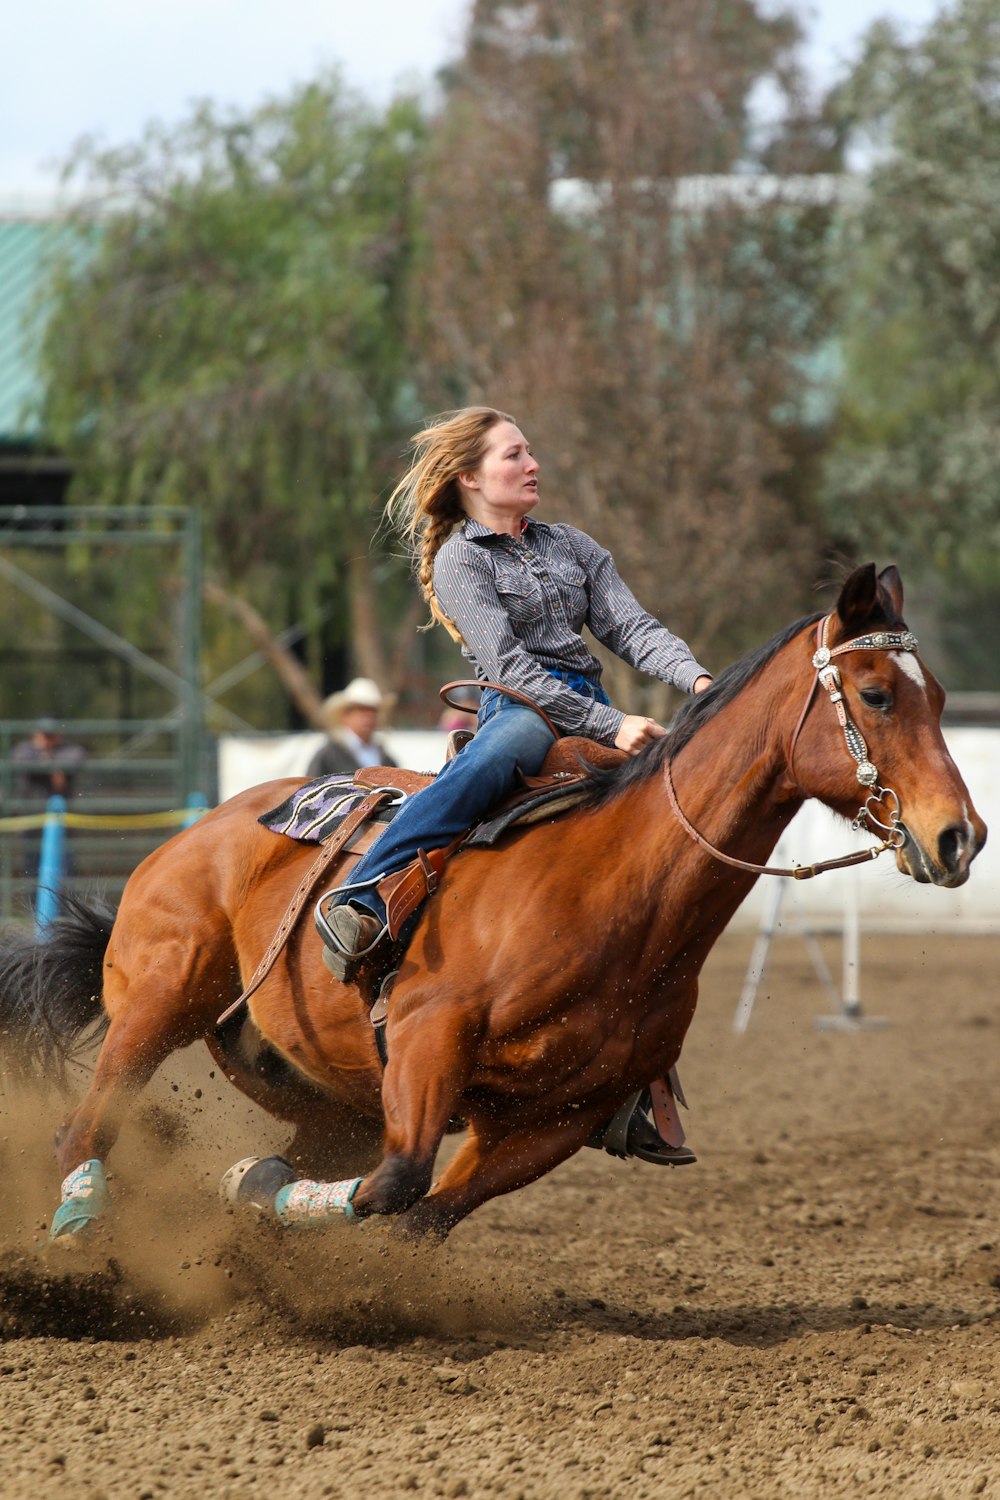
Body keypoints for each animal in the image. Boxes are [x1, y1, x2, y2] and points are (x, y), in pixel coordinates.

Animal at [0, 564, 983, 1242]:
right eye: (877, 693)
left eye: (939, 695)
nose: (959, 837)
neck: (613, 890)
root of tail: (201, 831)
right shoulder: (428, 1040)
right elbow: (397, 1182)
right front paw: (244, 1185)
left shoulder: (554, 1117)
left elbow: (421, 1213)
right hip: (157, 1001)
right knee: (84, 1129)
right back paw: (79, 1224)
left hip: (321, 1092)